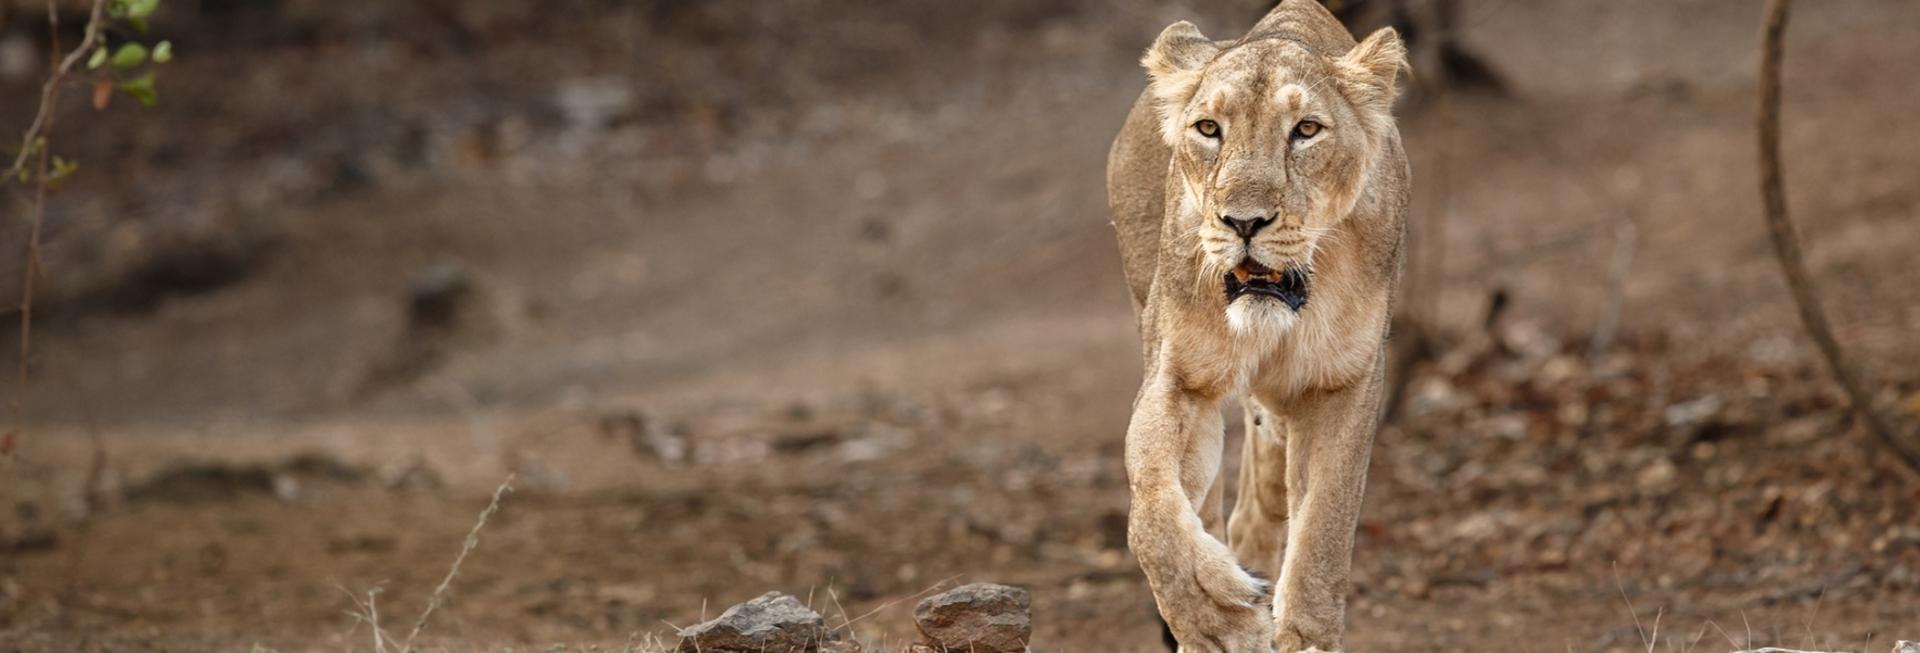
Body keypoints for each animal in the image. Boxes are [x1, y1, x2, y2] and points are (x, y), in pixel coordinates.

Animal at [1104, 1, 1410, 650]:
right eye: (1208, 129)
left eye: (1307, 130)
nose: (1244, 222)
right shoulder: (1180, 377)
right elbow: (1151, 507)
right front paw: (1216, 619)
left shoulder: (1346, 383)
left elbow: (1324, 528)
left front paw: (1303, 633)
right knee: (1209, 506)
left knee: (1262, 503)